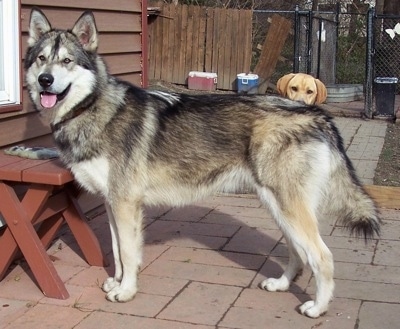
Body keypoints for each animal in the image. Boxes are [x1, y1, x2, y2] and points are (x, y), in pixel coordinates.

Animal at [25, 8, 382, 316]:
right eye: (41, 59)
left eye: (67, 61)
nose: (45, 80)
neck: (90, 110)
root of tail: (316, 113)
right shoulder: (112, 204)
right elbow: (115, 250)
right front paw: (116, 282)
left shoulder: (126, 204)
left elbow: (127, 251)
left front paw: (126, 292)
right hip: (278, 208)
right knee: (297, 252)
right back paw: (281, 285)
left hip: (290, 209)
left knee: (322, 257)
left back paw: (317, 308)